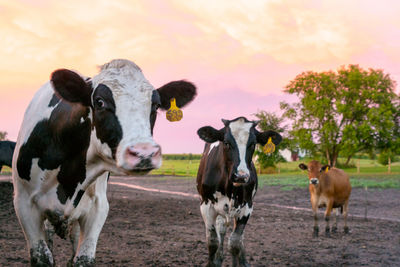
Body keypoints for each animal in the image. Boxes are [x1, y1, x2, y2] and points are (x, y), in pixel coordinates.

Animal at [13, 59, 198, 266]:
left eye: (156, 105)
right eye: (100, 102)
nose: (144, 153)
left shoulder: (98, 207)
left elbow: (83, 258)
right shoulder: (24, 204)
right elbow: (42, 256)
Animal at [197, 118, 282, 267]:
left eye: (253, 144)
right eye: (226, 143)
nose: (241, 176)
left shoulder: (247, 207)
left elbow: (235, 243)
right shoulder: (206, 206)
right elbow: (212, 241)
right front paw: (212, 261)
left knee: (238, 236)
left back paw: (242, 261)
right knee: (221, 230)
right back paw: (218, 258)